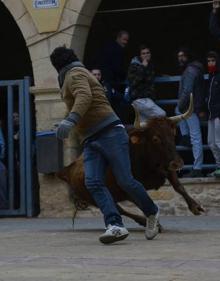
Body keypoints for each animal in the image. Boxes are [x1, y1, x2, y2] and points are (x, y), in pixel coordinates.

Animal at [57, 94, 205, 228]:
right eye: (155, 138)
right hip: (94, 197)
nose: (178, 163)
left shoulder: (166, 167)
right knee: (119, 209)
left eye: (173, 134)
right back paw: (144, 221)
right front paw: (153, 221)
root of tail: (69, 169)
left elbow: (178, 186)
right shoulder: (128, 188)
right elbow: (141, 201)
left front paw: (195, 207)